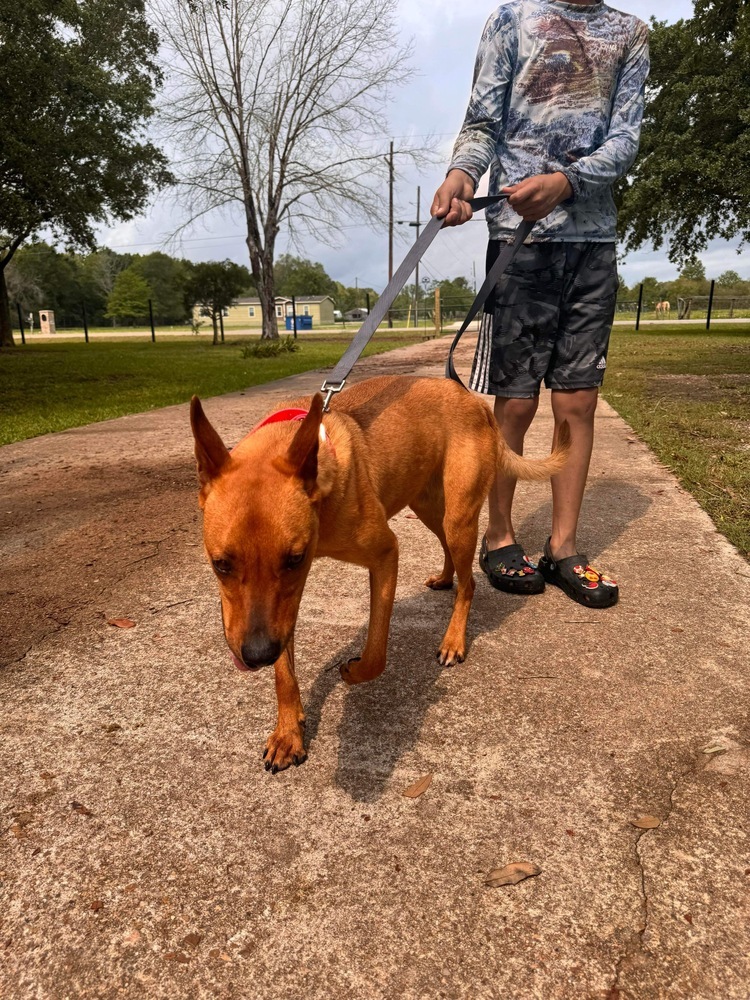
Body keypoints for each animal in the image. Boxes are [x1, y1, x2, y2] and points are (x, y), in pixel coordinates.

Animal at [191, 376, 568, 772]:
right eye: (220, 564)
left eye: (295, 559)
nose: (257, 655)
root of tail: (473, 399)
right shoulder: (279, 612)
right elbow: (284, 674)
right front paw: (288, 732)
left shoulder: (384, 555)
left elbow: (375, 653)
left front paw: (352, 672)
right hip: (428, 507)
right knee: (448, 553)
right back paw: (444, 579)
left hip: (459, 519)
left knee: (469, 585)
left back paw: (454, 640)